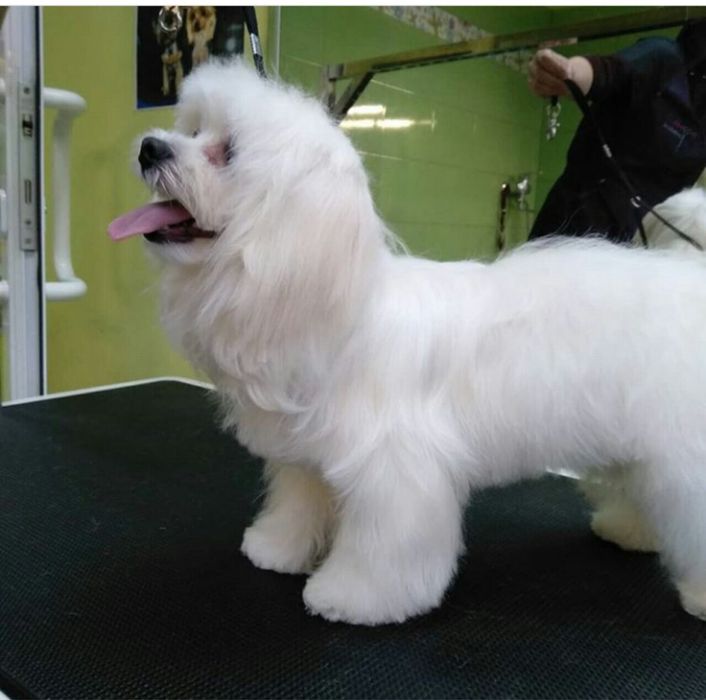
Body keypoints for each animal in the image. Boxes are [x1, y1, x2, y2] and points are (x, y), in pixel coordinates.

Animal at [109, 60, 706, 625]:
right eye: (192, 129)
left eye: (227, 152)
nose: (149, 147)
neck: (340, 309)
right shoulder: (308, 455)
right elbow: (299, 504)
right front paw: (276, 548)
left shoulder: (394, 472)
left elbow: (384, 550)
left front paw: (353, 597)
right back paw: (628, 530)